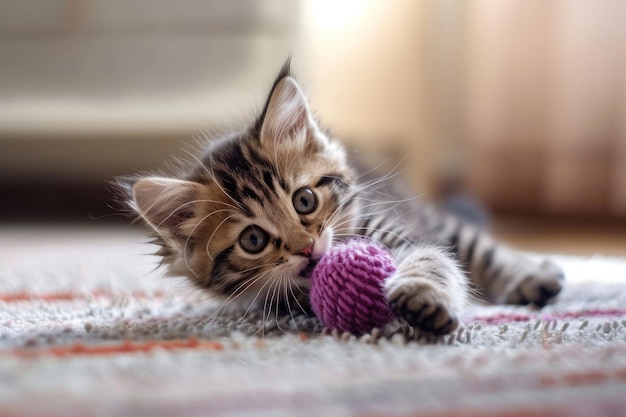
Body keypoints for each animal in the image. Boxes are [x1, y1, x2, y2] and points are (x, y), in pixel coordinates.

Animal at [117, 61, 560, 334]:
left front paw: (423, 296)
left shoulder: (395, 227)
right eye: (253, 240)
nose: (306, 248)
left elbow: (432, 258)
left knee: (485, 249)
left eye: (305, 200)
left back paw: (534, 277)